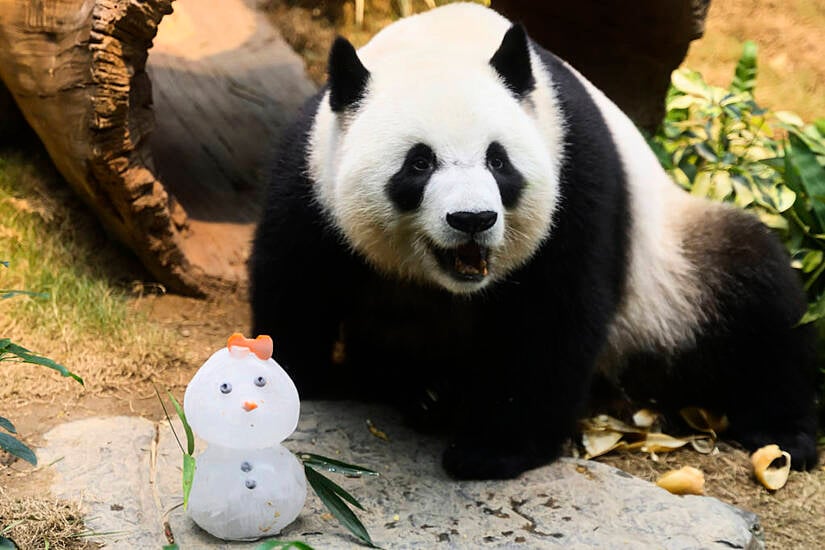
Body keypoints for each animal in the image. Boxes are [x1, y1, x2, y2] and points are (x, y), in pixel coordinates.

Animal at [251, 2, 816, 480]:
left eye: (498, 160)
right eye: (419, 162)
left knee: (754, 293)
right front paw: (296, 381)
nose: (472, 219)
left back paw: (783, 435)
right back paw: (422, 391)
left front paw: (493, 450)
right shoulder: (312, 176)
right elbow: (293, 279)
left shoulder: (574, 172)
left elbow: (556, 319)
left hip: (673, 271)